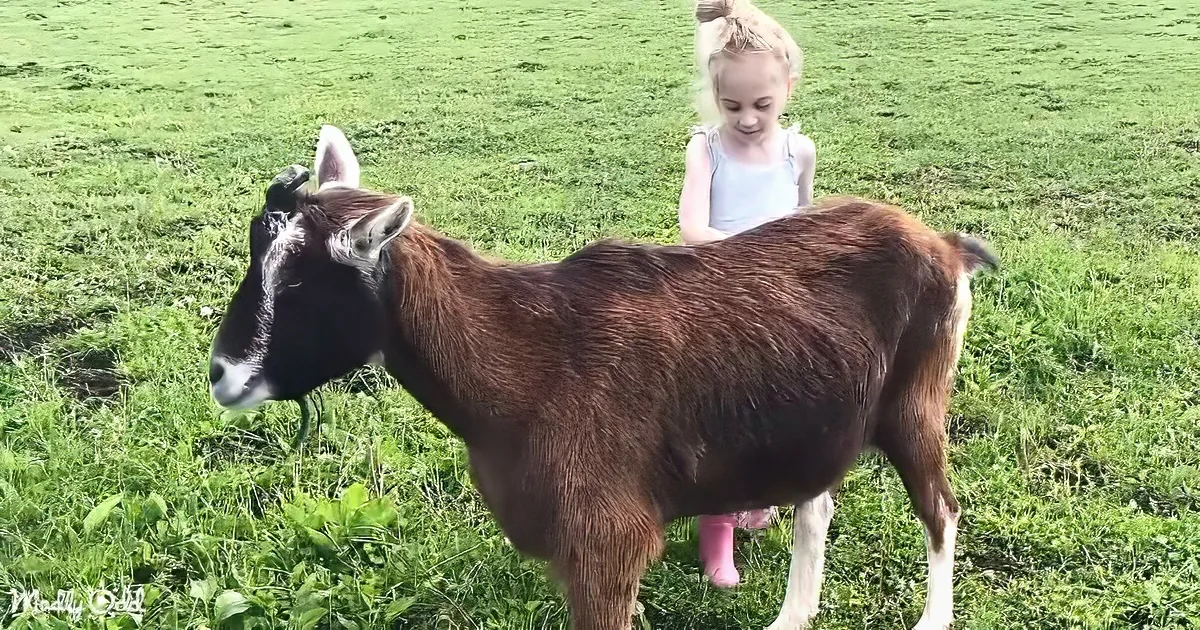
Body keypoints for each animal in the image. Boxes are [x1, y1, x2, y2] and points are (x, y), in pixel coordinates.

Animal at [207, 125, 997, 630]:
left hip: (916, 401)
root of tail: (944, 246)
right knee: (818, 503)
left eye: (304, 287)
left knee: (941, 509)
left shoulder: (604, 538)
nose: (222, 374)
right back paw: (791, 616)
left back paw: (930, 620)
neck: (526, 366)